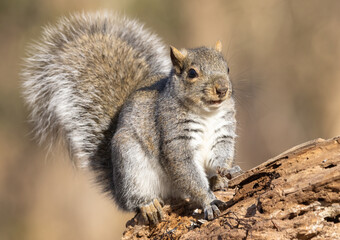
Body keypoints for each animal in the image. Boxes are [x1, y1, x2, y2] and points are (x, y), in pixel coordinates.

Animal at [21, 11, 242, 225]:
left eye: (228, 69)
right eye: (192, 73)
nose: (223, 89)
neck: (207, 113)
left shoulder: (223, 132)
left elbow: (220, 156)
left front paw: (226, 170)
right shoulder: (173, 134)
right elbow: (186, 171)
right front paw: (208, 200)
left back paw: (216, 181)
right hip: (130, 164)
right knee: (134, 200)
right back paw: (147, 205)